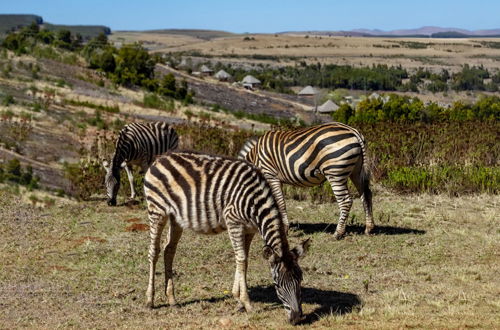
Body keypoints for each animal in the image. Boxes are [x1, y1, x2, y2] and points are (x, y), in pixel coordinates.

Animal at [143, 151, 310, 324]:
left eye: (300, 280)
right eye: (277, 285)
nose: (297, 318)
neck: (255, 202)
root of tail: (161, 157)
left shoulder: (250, 230)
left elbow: (244, 260)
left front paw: (238, 300)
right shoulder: (233, 222)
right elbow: (241, 259)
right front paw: (246, 303)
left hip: (175, 217)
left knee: (169, 250)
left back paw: (172, 299)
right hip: (157, 210)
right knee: (154, 252)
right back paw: (149, 300)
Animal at [239, 122, 376, 238]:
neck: (256, 158)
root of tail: (354, 132)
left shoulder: (271, 175)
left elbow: (280, 203)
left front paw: (283, 229)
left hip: (335, 172)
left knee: (345, 201)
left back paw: (338, 233)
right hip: (356, 171)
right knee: (366, 195)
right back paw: (369, 228)